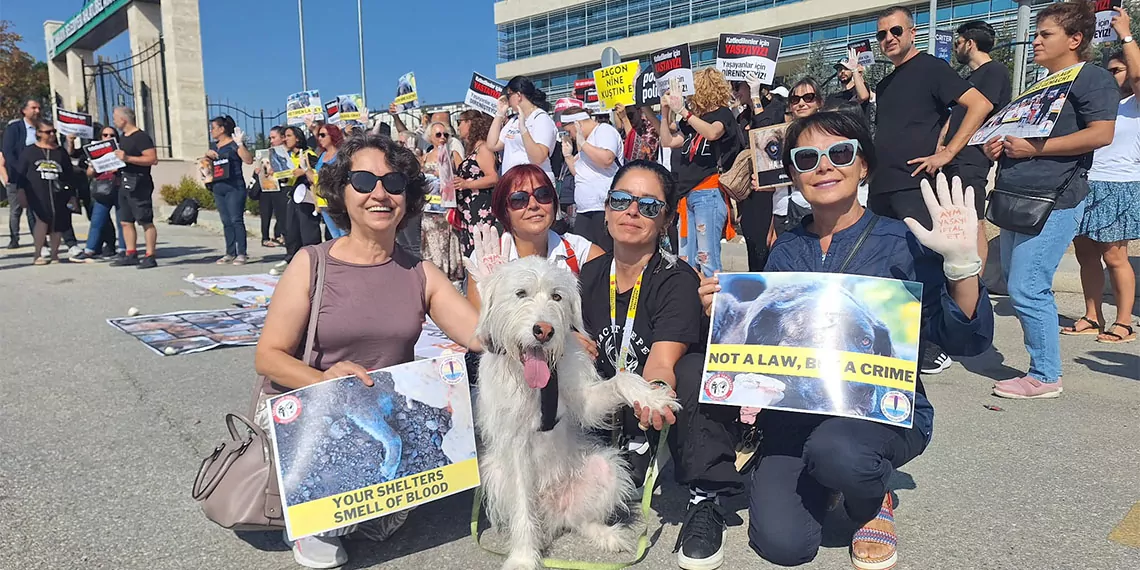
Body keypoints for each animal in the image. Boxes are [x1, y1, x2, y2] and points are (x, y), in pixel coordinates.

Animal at [471, 258, 674, 570]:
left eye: (557, 296)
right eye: (521, 294)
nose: (544, 330)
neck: (541, 384)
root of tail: (555, 513)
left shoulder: (585, 400)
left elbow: (621, 380)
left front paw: (651, 397)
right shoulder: (516, 444)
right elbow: (522, 506)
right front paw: (523, 558)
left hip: (605, 468)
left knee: (582, 520)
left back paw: (606, 535)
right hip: (495, 473)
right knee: (532, 516)